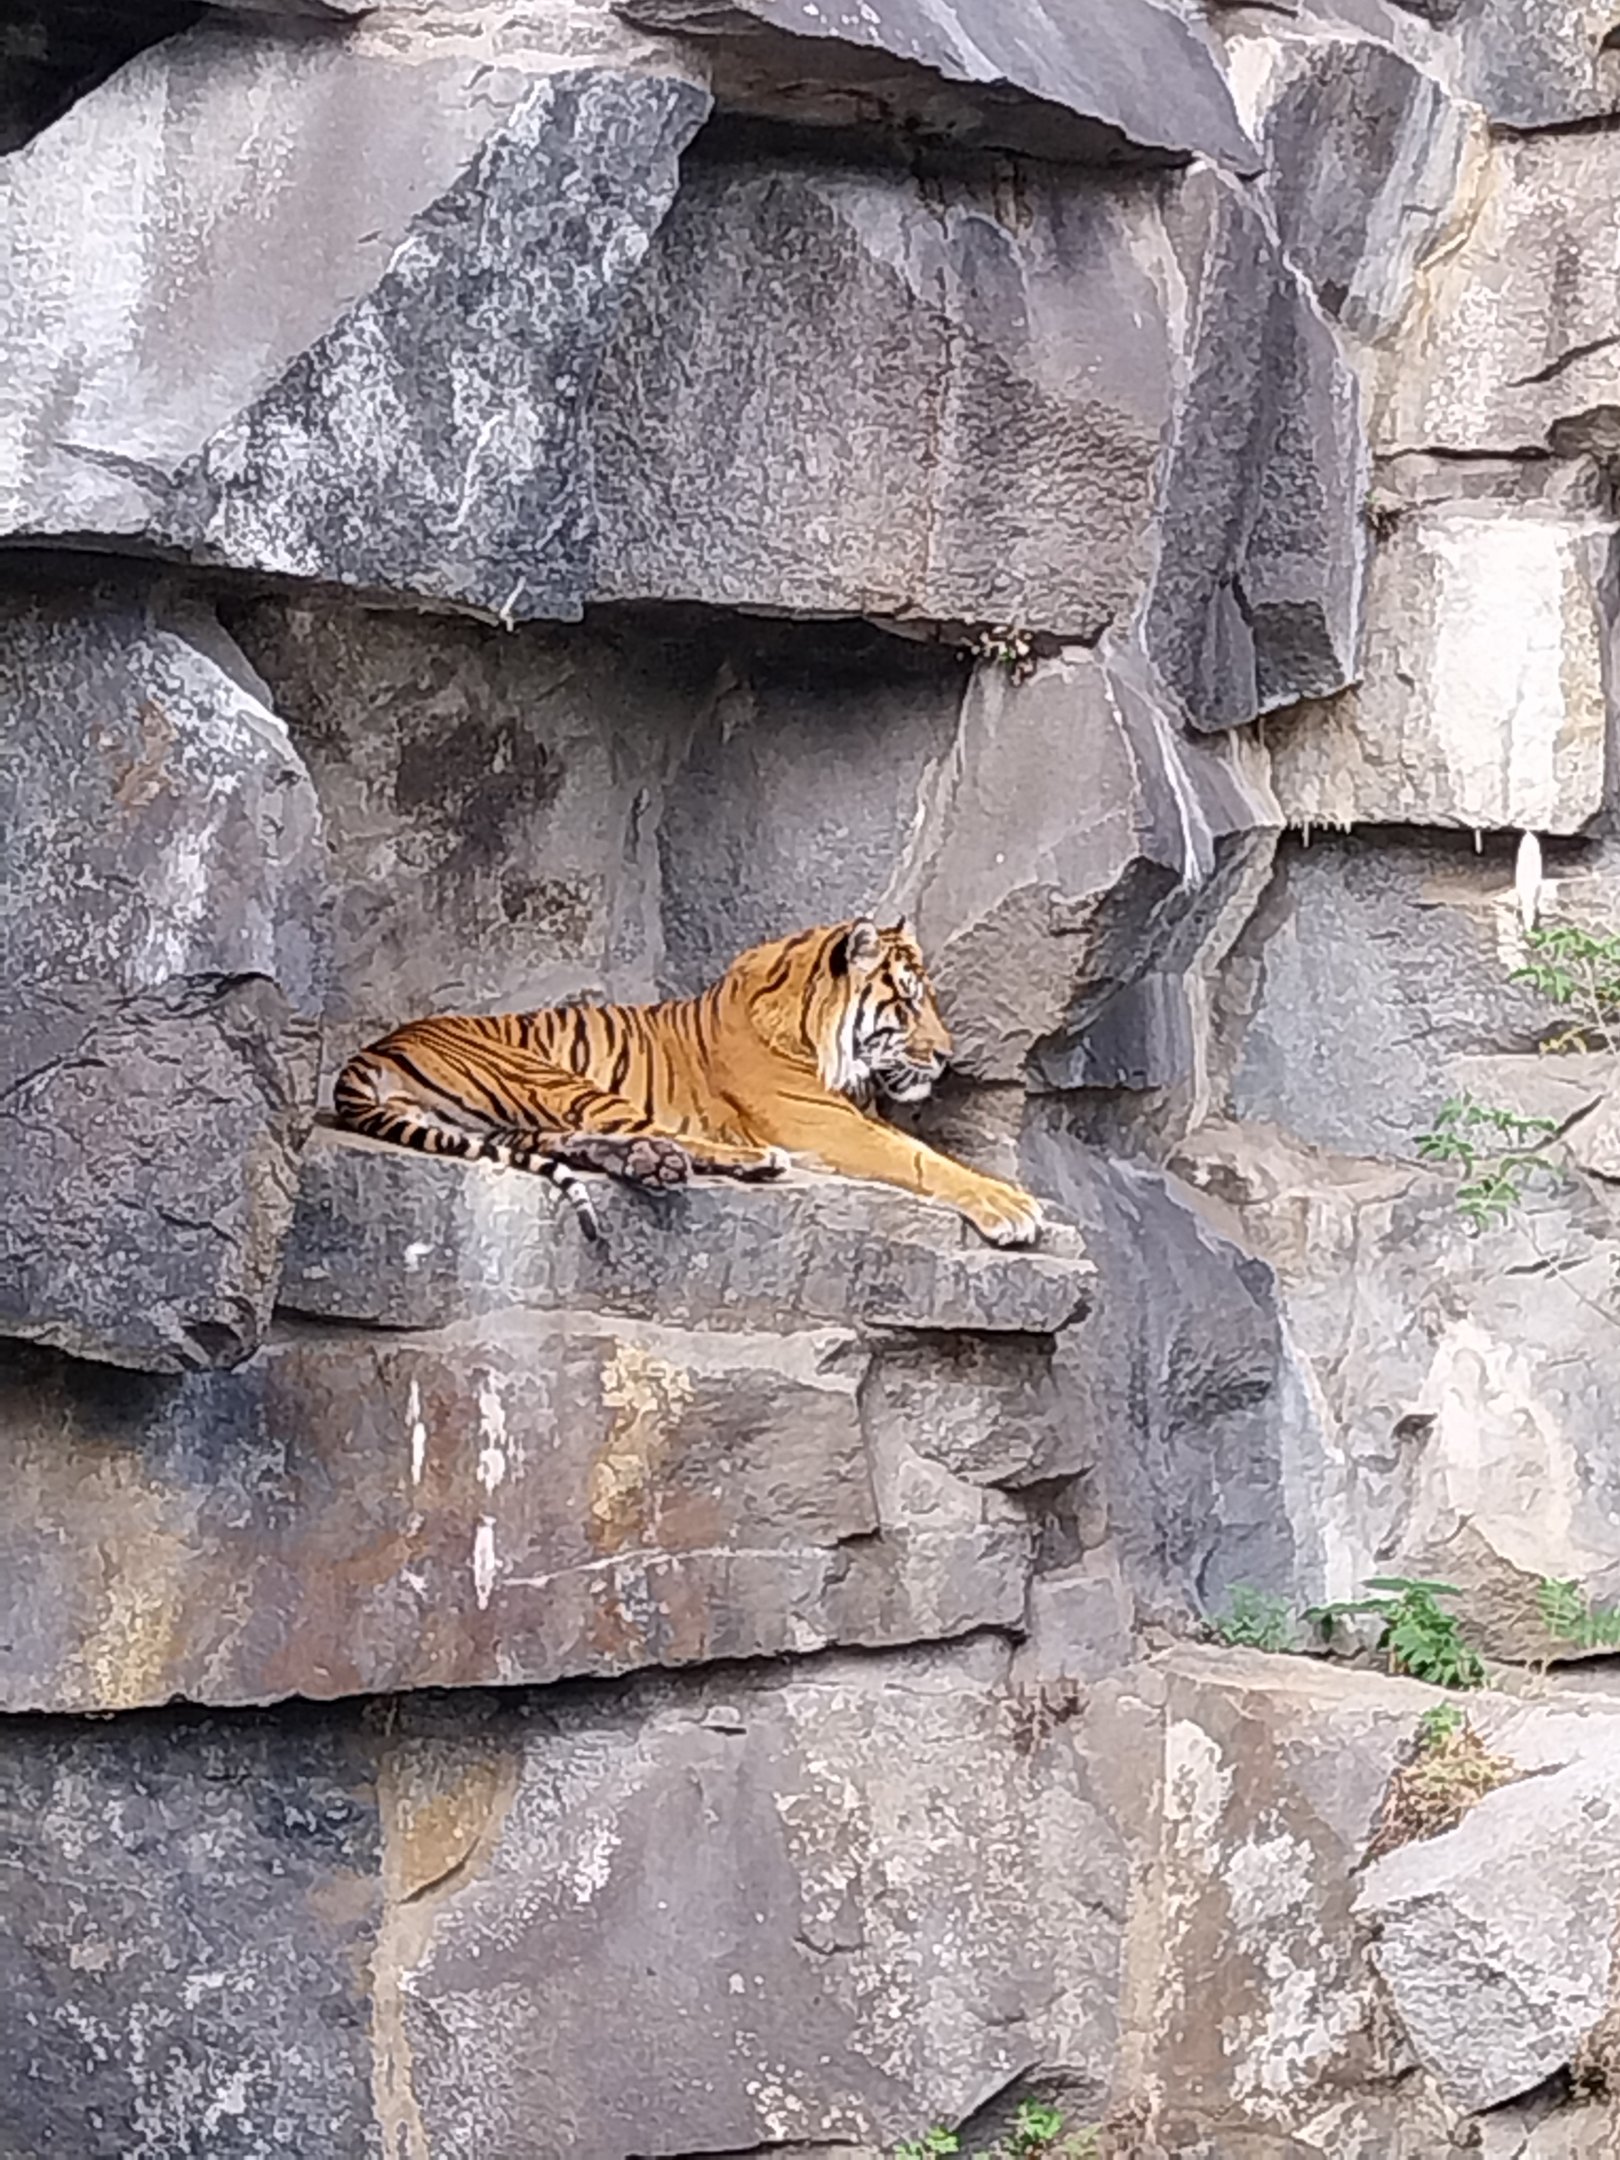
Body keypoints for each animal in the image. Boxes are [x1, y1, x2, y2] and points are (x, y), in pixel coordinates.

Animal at [332, 916, 1046, 1246]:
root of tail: (369, 1053)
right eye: (906, 1002)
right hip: (548, 1075)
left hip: (522, 1116)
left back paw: (656, 1163)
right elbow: (922, 1158)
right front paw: (1014, 1208)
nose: (949, 1056)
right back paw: (751, 1161)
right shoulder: (825, 1123)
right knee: (649, 1134)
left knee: (581, 1141)